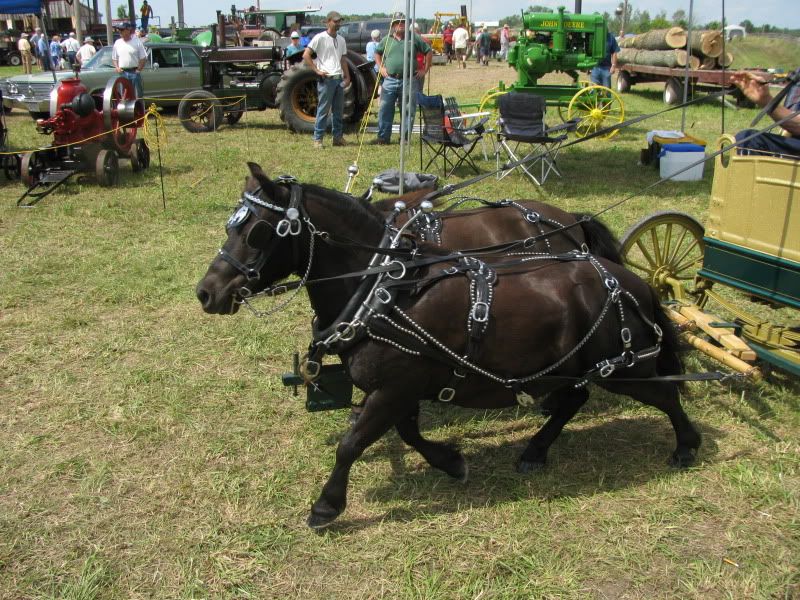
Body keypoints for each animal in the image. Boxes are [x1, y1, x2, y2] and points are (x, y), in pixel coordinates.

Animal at [195, 163, 700, 524]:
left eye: (257, 231)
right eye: (229, 226)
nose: (206, 292)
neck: (381, 288)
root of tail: (633, 283)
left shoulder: (395, 387)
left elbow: (352, 444)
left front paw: (326, 505)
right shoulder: (404, 385)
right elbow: (407, 433)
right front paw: (451, 461)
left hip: (624, 366)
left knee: (664, 393)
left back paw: (687, 444)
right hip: (574, 365)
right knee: (573, 400)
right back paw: (535, 450)